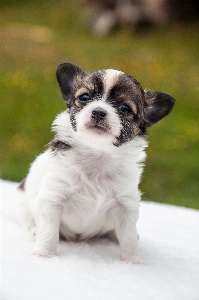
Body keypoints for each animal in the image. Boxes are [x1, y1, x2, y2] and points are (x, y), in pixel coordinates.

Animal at [14, 62, 175, 262]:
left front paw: (133, 261)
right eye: (84, 97)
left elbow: (128, 237)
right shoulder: (53, 199)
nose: (98, 111)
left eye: (124, 108)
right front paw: (44, 254)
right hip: (23, 203)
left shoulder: (126, 206)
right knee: (29, 221)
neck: (98, 155)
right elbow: (49, 231)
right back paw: (35, 231)